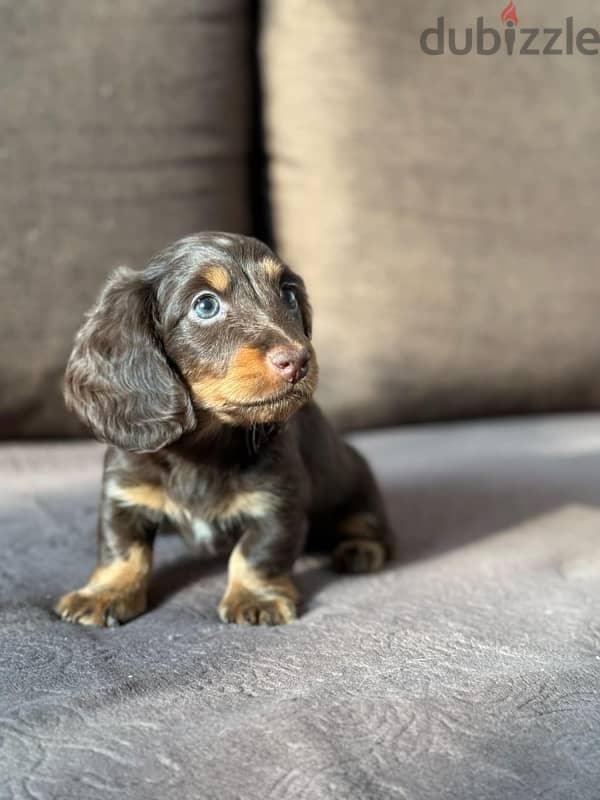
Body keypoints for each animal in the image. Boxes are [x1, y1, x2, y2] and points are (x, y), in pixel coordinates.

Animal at [55, 231, 394, 624]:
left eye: (288, 294)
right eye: (206, 306)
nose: (298, 361)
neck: (202, 447)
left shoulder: (278, 501)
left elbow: (257, 553)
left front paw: (255, 597)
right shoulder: (123, 494)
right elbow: (122, 549)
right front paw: (105, 593)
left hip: (357, 484)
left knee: (368, 523)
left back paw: (360, 549)